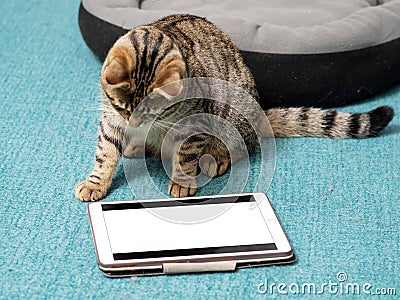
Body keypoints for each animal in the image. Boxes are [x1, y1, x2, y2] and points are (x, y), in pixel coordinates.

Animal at [75, 14, 394, 202]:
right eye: (122, 107)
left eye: (154, 111)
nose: (136, 123)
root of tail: (261, 113)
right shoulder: (111, 120)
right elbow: (105, 155)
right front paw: (96, 183)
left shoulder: (194, 124)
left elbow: (185, 155)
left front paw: (182, 181)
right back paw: (136, 146)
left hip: (234, 119)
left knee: (240, 148)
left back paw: (214, 159)